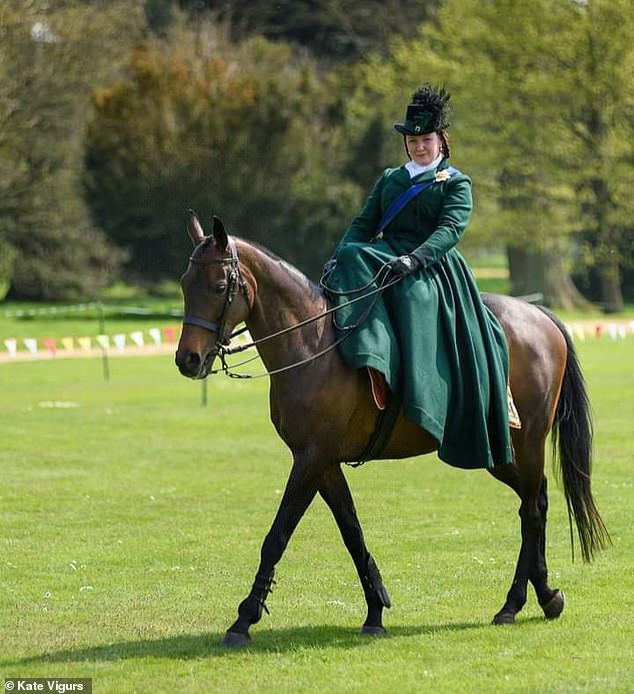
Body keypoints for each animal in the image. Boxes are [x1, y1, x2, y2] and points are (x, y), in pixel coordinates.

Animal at [173, 211, 608, 648]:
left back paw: (514, 603)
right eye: (184, 283)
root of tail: (540, 316)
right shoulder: (323, 463)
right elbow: (352, 533)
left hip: (524, 444)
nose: (187, 359)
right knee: (536, 502)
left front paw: (243, 619)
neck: (312, 344)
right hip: (500, 452)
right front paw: (375, 609)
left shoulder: (311, 460)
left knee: (531, 512)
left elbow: (276, 537)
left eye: (218, 286)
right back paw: (545, 594)